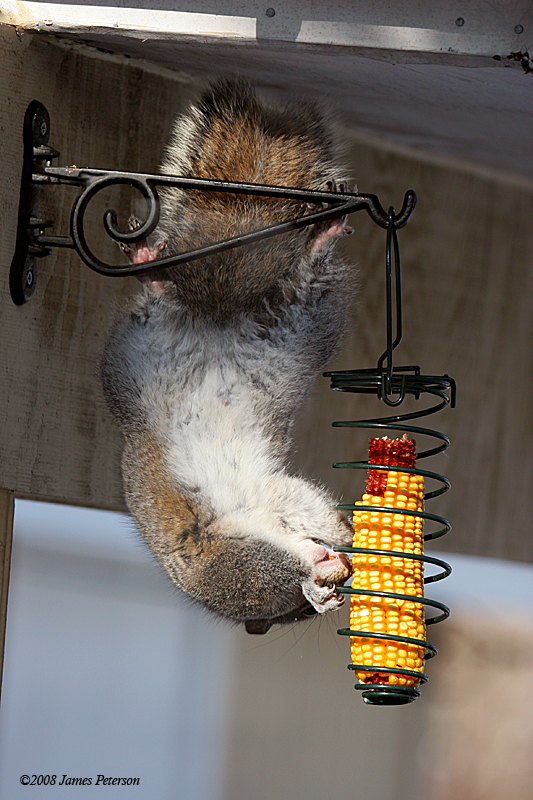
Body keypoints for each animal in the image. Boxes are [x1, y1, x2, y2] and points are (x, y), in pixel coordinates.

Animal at [101, 78, 356, 636]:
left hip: (285, 328)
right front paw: (319, 574)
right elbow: (280, 557)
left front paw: (344, 536)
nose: (342, 574)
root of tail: (217, 324)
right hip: (152, 347)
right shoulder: (240, 561)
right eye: (285, 613)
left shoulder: (278, 504)